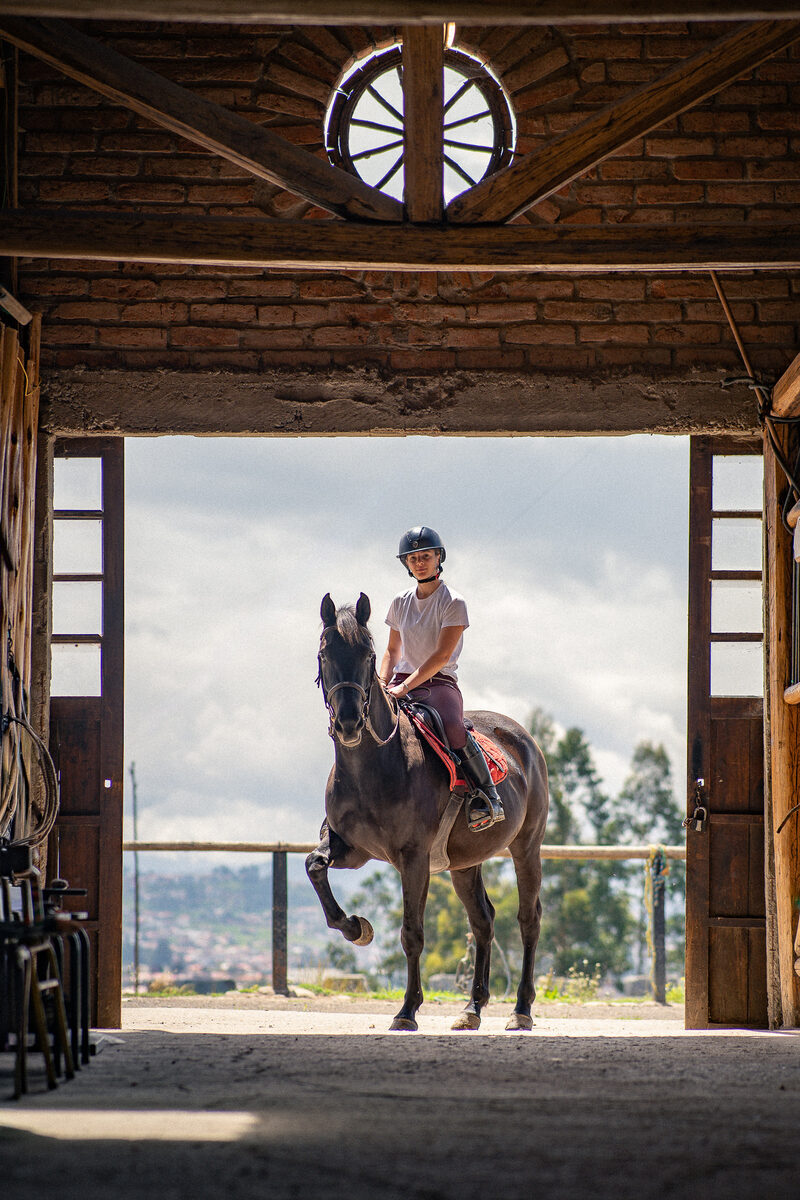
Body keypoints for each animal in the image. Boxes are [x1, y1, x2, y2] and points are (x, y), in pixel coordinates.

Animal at [306, 592, 549, 1032]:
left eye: (368, 655)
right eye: (324, 653)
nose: (349, 723)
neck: (374, 763)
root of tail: (523, 737)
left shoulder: (414, 858)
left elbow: (412, 933)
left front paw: (407, 1010)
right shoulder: (352, 849)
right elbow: (315, 866)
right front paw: (356, 928)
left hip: (527, 848)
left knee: (528, 919)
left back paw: (521, 1009)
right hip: (464, 864)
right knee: (483, 920)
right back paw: (472, 1008)